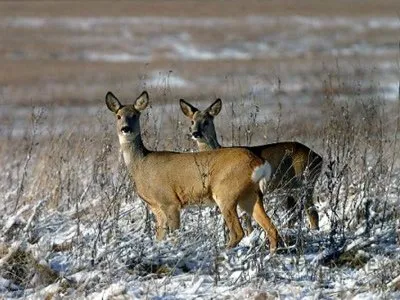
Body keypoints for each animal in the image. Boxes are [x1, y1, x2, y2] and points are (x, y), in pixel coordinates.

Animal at [106, 91, 282, 253]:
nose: (126, 129)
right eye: (118, 116)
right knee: (271, 228)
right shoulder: (156, 208)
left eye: (135, 115)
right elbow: (159, 237)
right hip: (250, 195)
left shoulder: (170, 201)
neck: (141, 164)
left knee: (238, 232)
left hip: (226, 192)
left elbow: (175, 236)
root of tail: (258, 162)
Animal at [180, 97, 324, 231]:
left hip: (305, 181)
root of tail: (319, 158)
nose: (195, 133)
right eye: (192, 121)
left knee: (312, 213)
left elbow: (246, 221)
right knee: (294, 216)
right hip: (289, 189)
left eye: (206, 122)